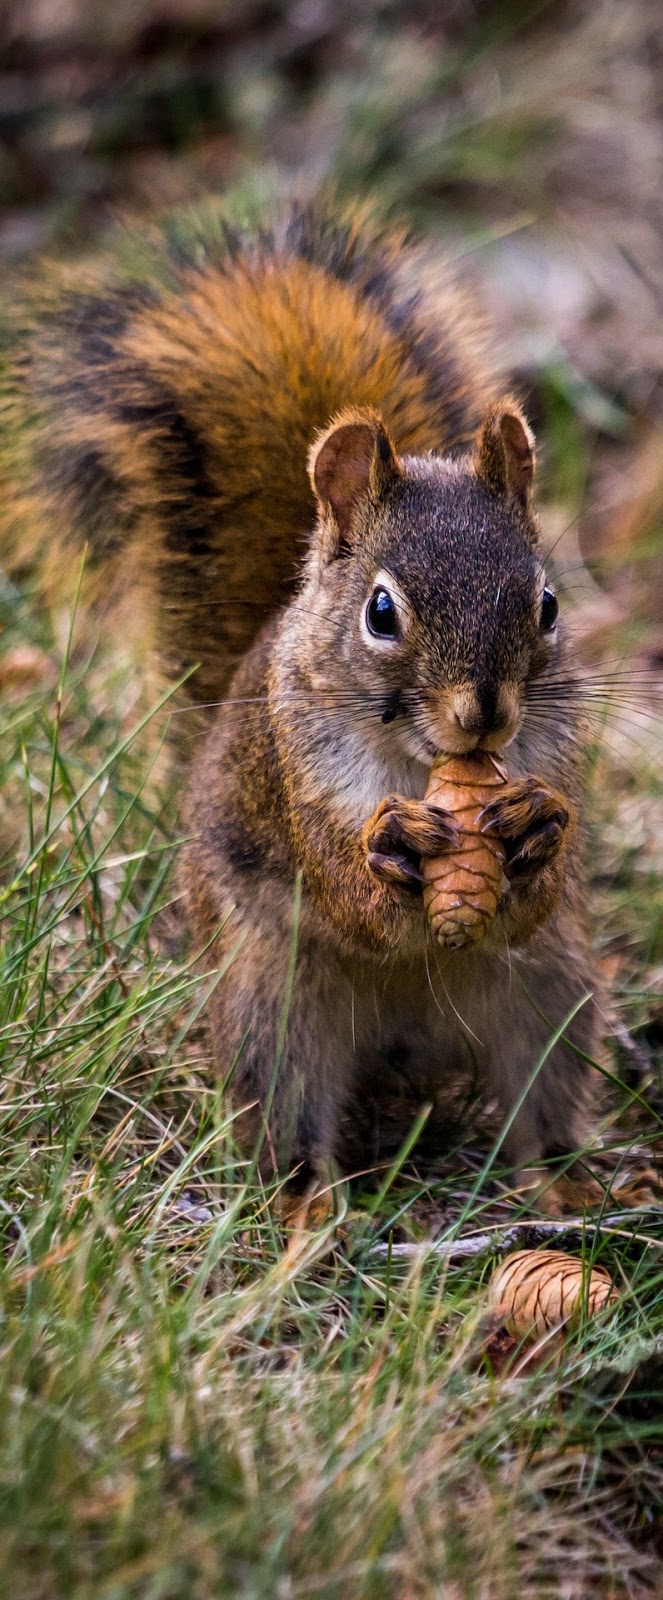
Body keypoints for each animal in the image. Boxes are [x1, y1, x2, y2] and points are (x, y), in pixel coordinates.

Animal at [1, 196, 602, 1203]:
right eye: (381, 613)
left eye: (548, 604)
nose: (485, 715)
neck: (418, 765)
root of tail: (407, 1048)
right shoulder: (295, 775)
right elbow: (344, 886)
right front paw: (390, 849)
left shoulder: (552, 772)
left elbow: (534, 893)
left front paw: (535, 826)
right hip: (270, 1004)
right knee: (288, 1123)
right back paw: (308, 1210)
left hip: (549, 993)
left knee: (537, 1108)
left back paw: (563, 1191)